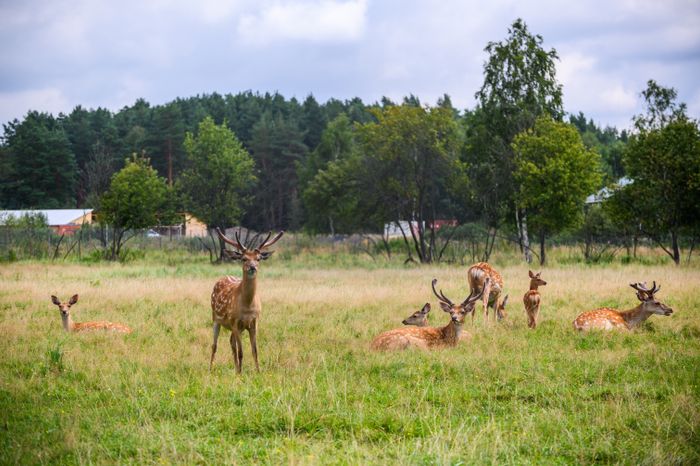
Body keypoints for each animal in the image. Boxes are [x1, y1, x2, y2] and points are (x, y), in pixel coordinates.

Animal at [210, 228, 284, 373]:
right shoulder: (235, 322)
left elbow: (255, 351)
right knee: (214, 345)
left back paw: (235, 369)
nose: (252, 267)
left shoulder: (254, 322)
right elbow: (241, 352)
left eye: (258, 258)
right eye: (244, 258)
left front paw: (258, 372)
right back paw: (211, 369)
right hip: (216, 318)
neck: (248, 306)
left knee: (231, 342)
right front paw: (241, 373)